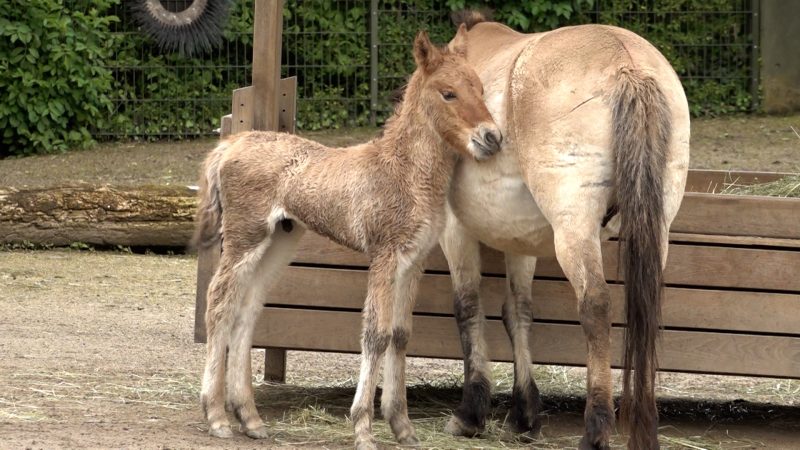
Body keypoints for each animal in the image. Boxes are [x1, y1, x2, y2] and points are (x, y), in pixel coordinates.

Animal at [440, 12, 692, 448]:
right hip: (655, 230)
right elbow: (517, 311)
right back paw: (644, 429)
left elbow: (467, 307)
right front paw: (524, 413)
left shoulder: (455, 230)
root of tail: (628, 65)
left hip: (574, 230)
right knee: (645, 305)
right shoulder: (519, 240)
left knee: (596, 307)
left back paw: (595, 431)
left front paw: (470, 414)